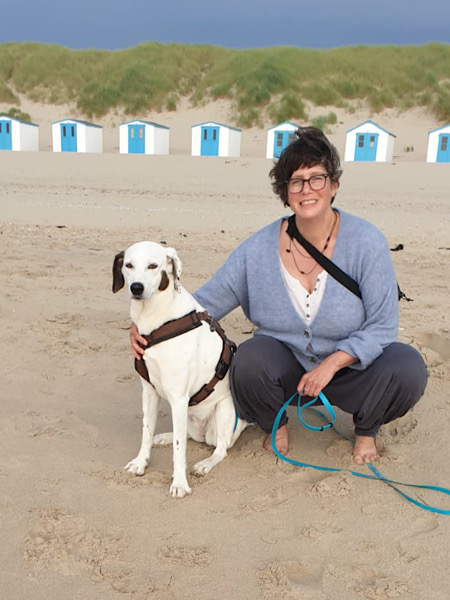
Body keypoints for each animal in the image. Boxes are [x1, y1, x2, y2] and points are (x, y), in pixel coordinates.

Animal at [111, 241, 248, 500]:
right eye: (128, 265)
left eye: (153, 266)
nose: (136, 287)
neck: (154, 321)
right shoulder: (149, 391)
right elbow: (146, 431)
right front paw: (141, 462)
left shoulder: (178, 396)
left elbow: (179, 451)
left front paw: (180, 484)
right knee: (184, 434)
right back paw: (163, 437)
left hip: (224, 411)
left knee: (220, 448)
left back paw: (205, 463)